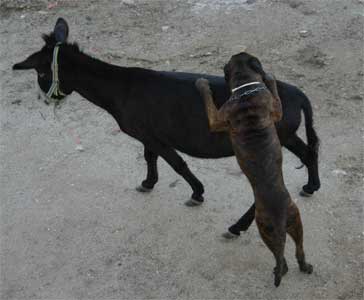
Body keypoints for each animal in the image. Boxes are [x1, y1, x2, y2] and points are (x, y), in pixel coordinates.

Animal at [12, 18, 318, 219]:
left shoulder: (152, 136)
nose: (44, 98)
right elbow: (151, 158)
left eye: (41, 73)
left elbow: (176, 163)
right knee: (308, 151)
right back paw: (311, 187)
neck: (120, 88)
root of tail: (299, 94)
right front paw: (148, 183)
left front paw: (196, 193)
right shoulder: (148, 134)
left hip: (274, 136)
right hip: (286, 134)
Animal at [196, 52, 312, 288]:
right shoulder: (275, 108)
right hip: (297, 222)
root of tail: (280, 216)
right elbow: (274, 94)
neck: (245, 88)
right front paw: (270, 78)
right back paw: (305, 267)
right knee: (299, 251)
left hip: (265, 229)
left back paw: (279, 269)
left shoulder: (216, 119)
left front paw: (202, 84)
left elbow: (207, 100)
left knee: (281, 259)